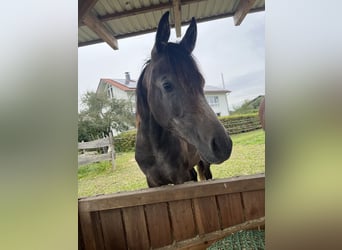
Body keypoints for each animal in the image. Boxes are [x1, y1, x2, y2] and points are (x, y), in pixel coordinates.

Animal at [134, 12, 232, 188]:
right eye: (166, 85)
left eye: (201, 82)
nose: (223, 144)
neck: (155, 150)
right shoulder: (152, 183)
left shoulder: (181, 178)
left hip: (203, 164)